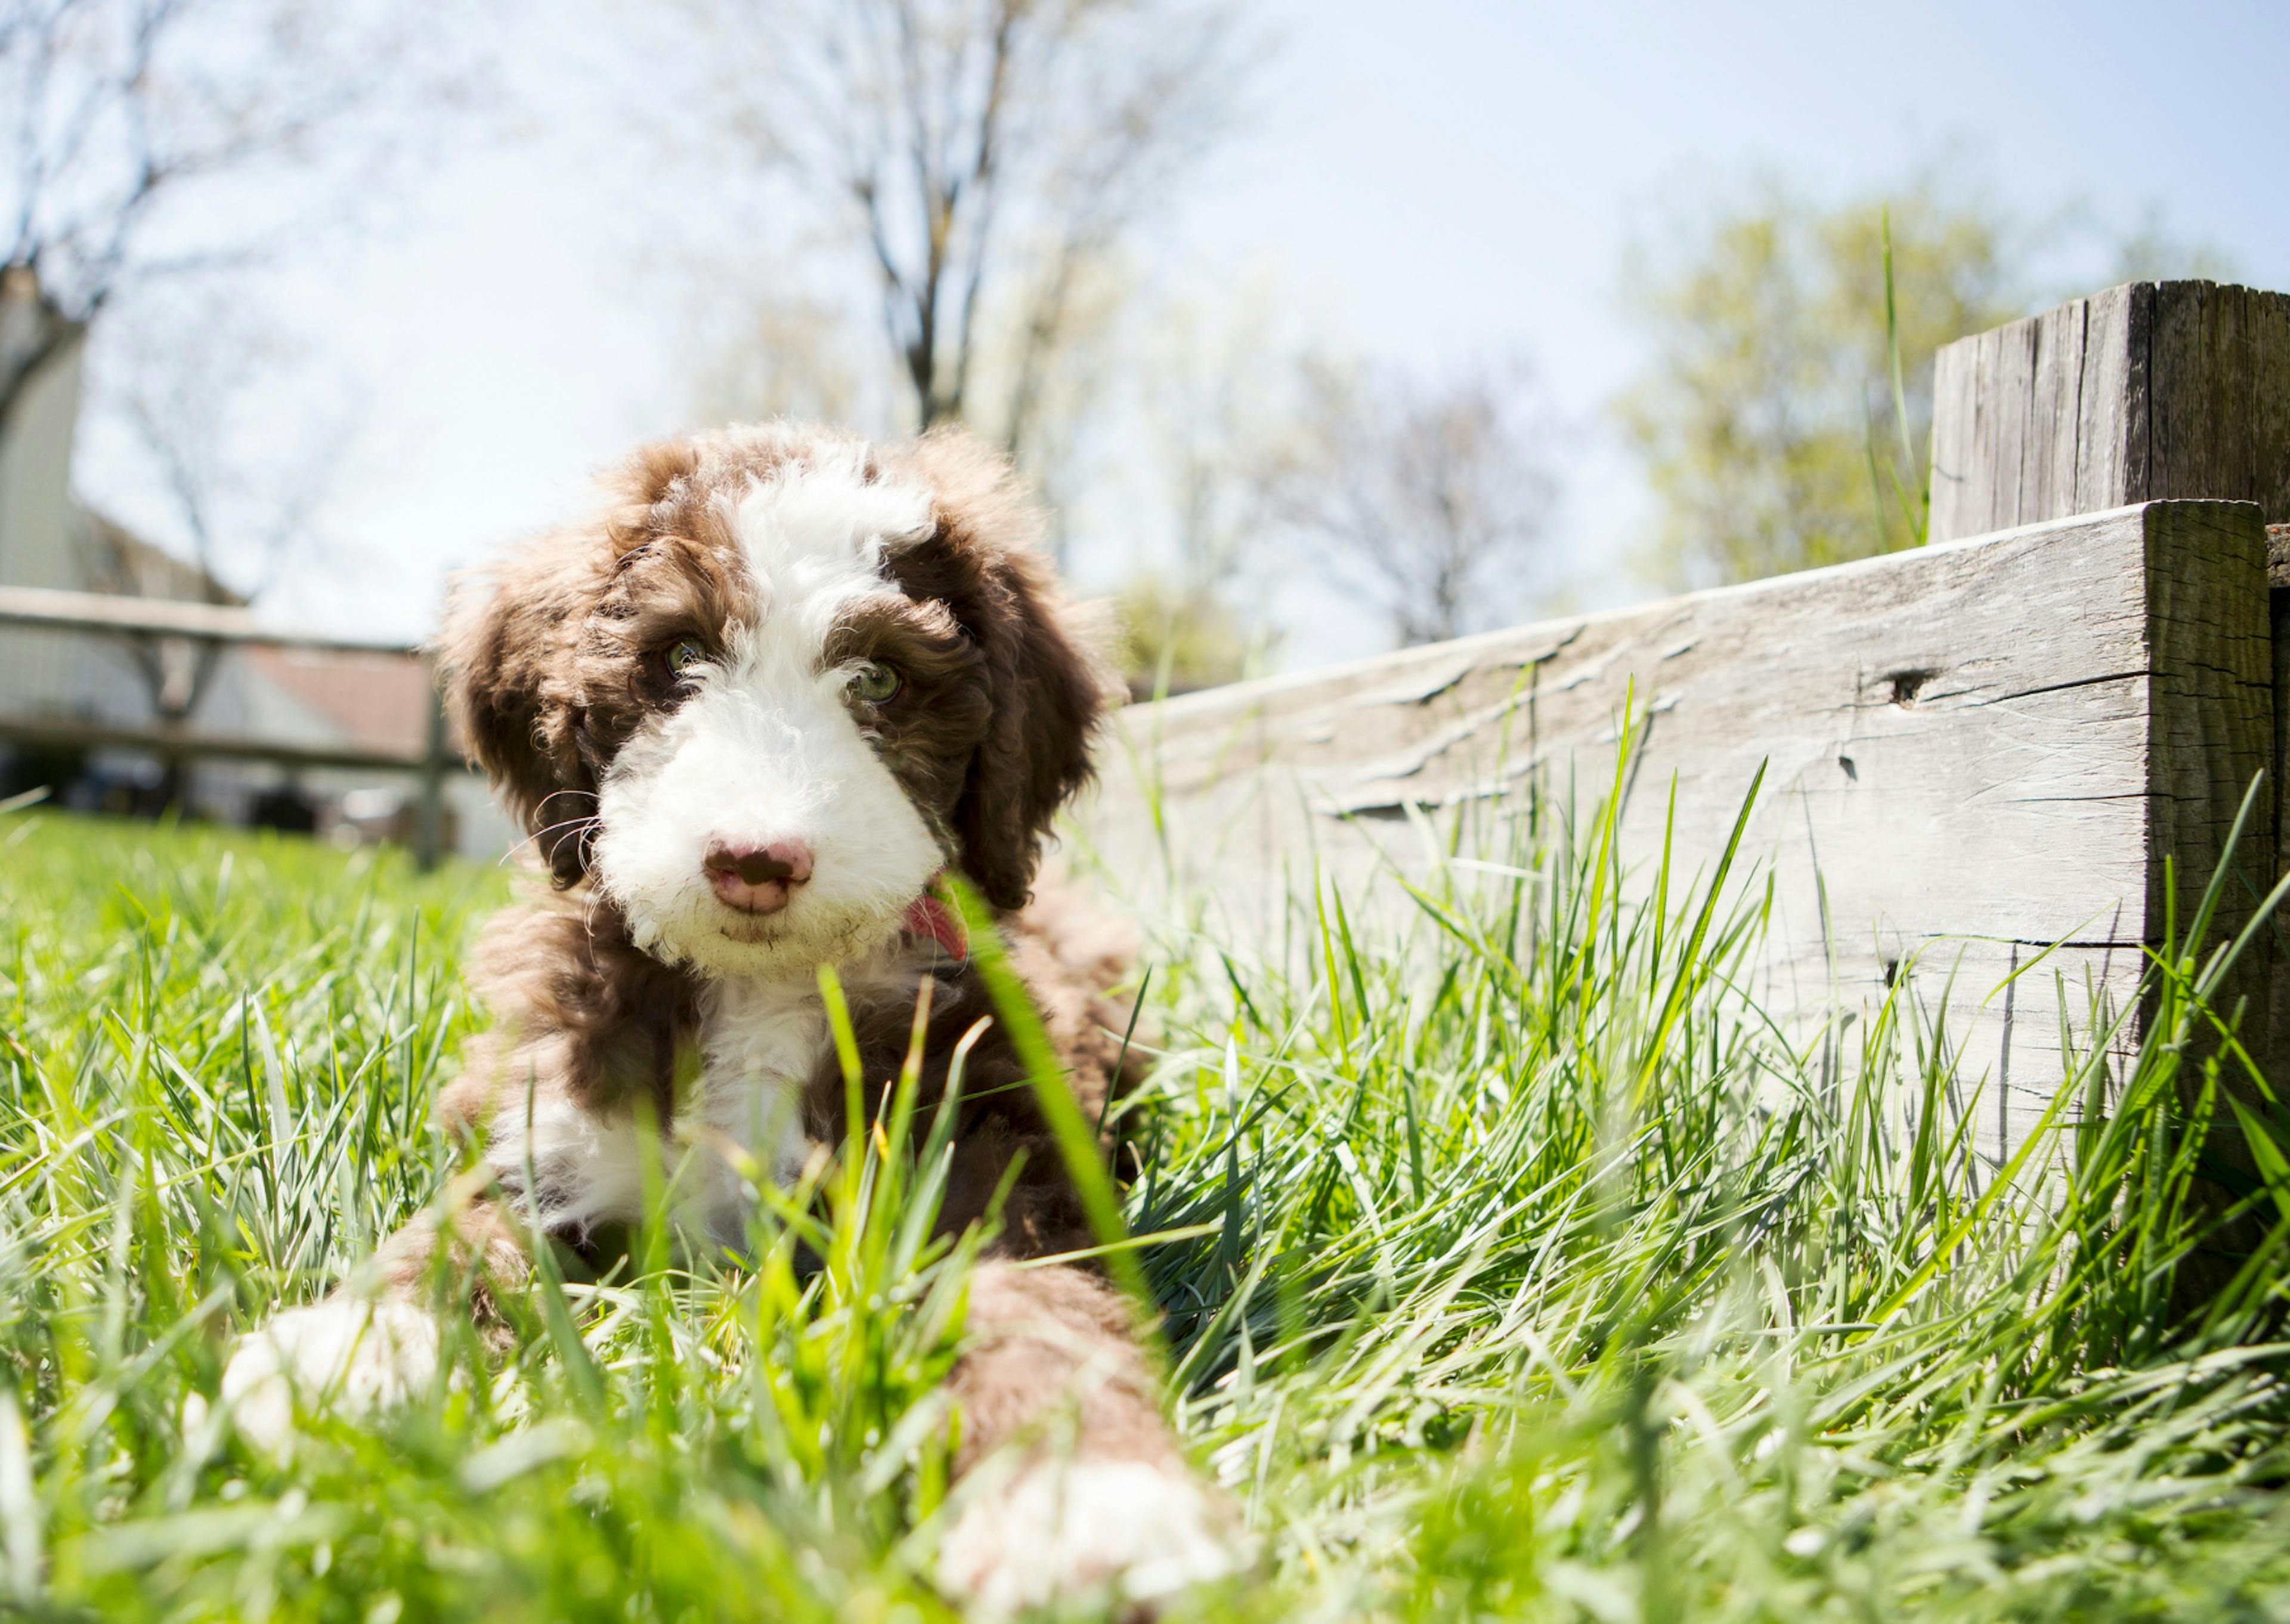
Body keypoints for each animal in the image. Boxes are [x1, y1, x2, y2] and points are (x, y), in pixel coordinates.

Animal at [223, 419, 1245, 1612]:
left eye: (879, 680)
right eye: (678, 659)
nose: (756, 859)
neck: (760, 988)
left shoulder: (984, 1158)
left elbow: (1037, 1309)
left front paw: (1089, 1501)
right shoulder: (552, 1127)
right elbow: (463, 1234)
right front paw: (351, 1347)